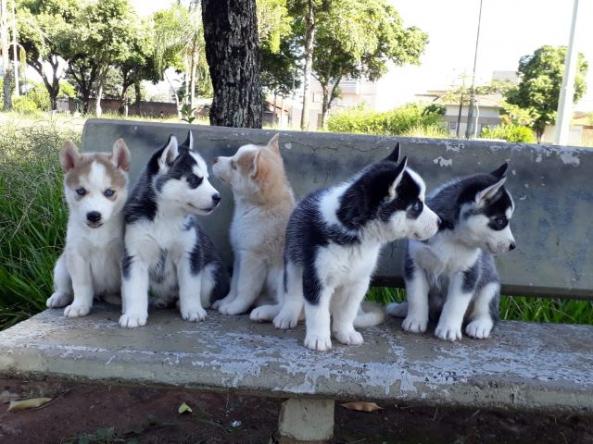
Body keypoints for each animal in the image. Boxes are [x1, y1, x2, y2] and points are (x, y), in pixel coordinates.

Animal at [46, 139, 131, 316]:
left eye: (109, 192)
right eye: (80, 191)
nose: (93, 215)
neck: (97, 233)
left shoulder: (121, 255)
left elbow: (126, 285)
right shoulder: (77, 255)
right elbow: (81, 284)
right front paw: (79, 306)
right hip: (62, 265)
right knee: (65, 287)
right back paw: (59, 297)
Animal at [212, 133, 296, 320]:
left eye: (234, 165)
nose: (215, 159)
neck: (260, 206)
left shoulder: (252, 258)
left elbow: (245, 288)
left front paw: (235, 307)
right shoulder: (239, 254)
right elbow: (234, 284)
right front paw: (226, 301)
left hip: (283, 277)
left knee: (292, 309)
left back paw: (264, 312)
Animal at [272, 146, 440, 350]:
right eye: (416, 206)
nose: (440, 221)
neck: (357, 233)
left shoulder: (360, 281)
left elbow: (347, 311)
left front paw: (345, 332)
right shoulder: (317, 277)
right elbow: (318, 311)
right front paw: (319, 337)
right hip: (293, 259)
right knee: (293, 290)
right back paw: (287, 315)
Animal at [386, 163, 516, 340]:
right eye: (500, 221)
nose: (513, 245)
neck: (450, 235)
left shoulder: (468, 273)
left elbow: (455, 303)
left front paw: (448, 329)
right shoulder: (414, 264)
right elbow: (416, 296)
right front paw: (415, 321)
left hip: (490, 287)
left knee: (489, 313)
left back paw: (480, 325)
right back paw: (402, 308)